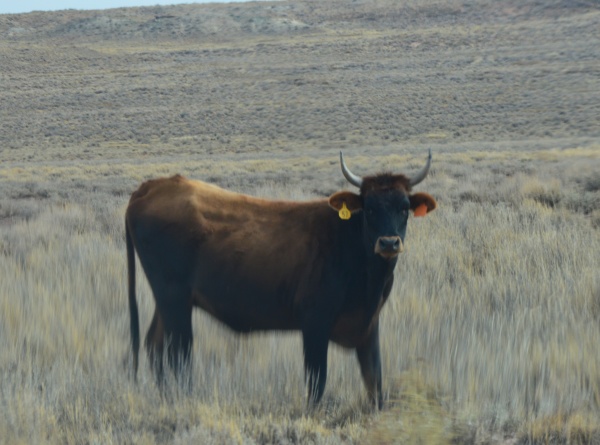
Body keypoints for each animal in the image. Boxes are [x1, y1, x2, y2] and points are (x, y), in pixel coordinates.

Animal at [126, 151, 436, 408]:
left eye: (404, 207)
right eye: (369, 208)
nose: (388, 243)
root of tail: (151, 187)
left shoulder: (369, 327)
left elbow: (375, 383)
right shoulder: (314, 325)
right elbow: (317, 383)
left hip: (168, 302)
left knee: (155, 346)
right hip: (175, 301)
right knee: (178, 354)